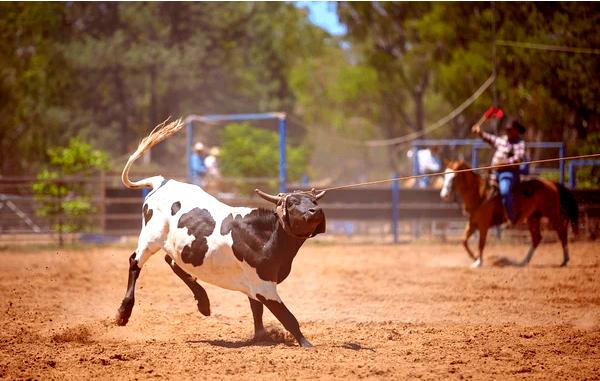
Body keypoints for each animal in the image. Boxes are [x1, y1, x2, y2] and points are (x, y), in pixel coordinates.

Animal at [115, 120, 326, 346]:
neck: (265, 237)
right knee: (135, 262)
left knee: (172, 261)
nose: (315, 211)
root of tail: (162, 182)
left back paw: (203, 302)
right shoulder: (264, 287)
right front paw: (306, 344)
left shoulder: (254, 287)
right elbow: (287, 317)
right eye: (293, 202)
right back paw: (123, 312)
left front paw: (261, 336)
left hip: (184, 246)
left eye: (314, 201)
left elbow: (257, 310)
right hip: (150, 239)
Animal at [440, 160, 576, 268]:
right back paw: (523, 262)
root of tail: (551, 183)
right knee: (537, 238)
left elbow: (481, 243)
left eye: (454, 177)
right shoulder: (473, 223)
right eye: (445, 176)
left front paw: (478, 262)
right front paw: (475, 258)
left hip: (552, 214)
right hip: (533, 217)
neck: (480, 195)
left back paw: (565, 260)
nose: (444, 195)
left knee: (561, 232)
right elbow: (463, 241)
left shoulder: (483, 225)